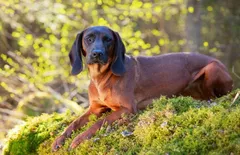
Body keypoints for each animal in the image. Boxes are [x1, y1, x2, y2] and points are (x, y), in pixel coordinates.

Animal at [52, 26, 232, 151]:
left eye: (108, 39)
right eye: (89, 39)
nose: (97, 53)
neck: (102, 78)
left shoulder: (127, 108)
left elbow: (99, 123)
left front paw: (79, 139)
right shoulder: (94, 109)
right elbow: (73, 123)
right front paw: (60, 139)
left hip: (212, 68)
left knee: (213, 97)